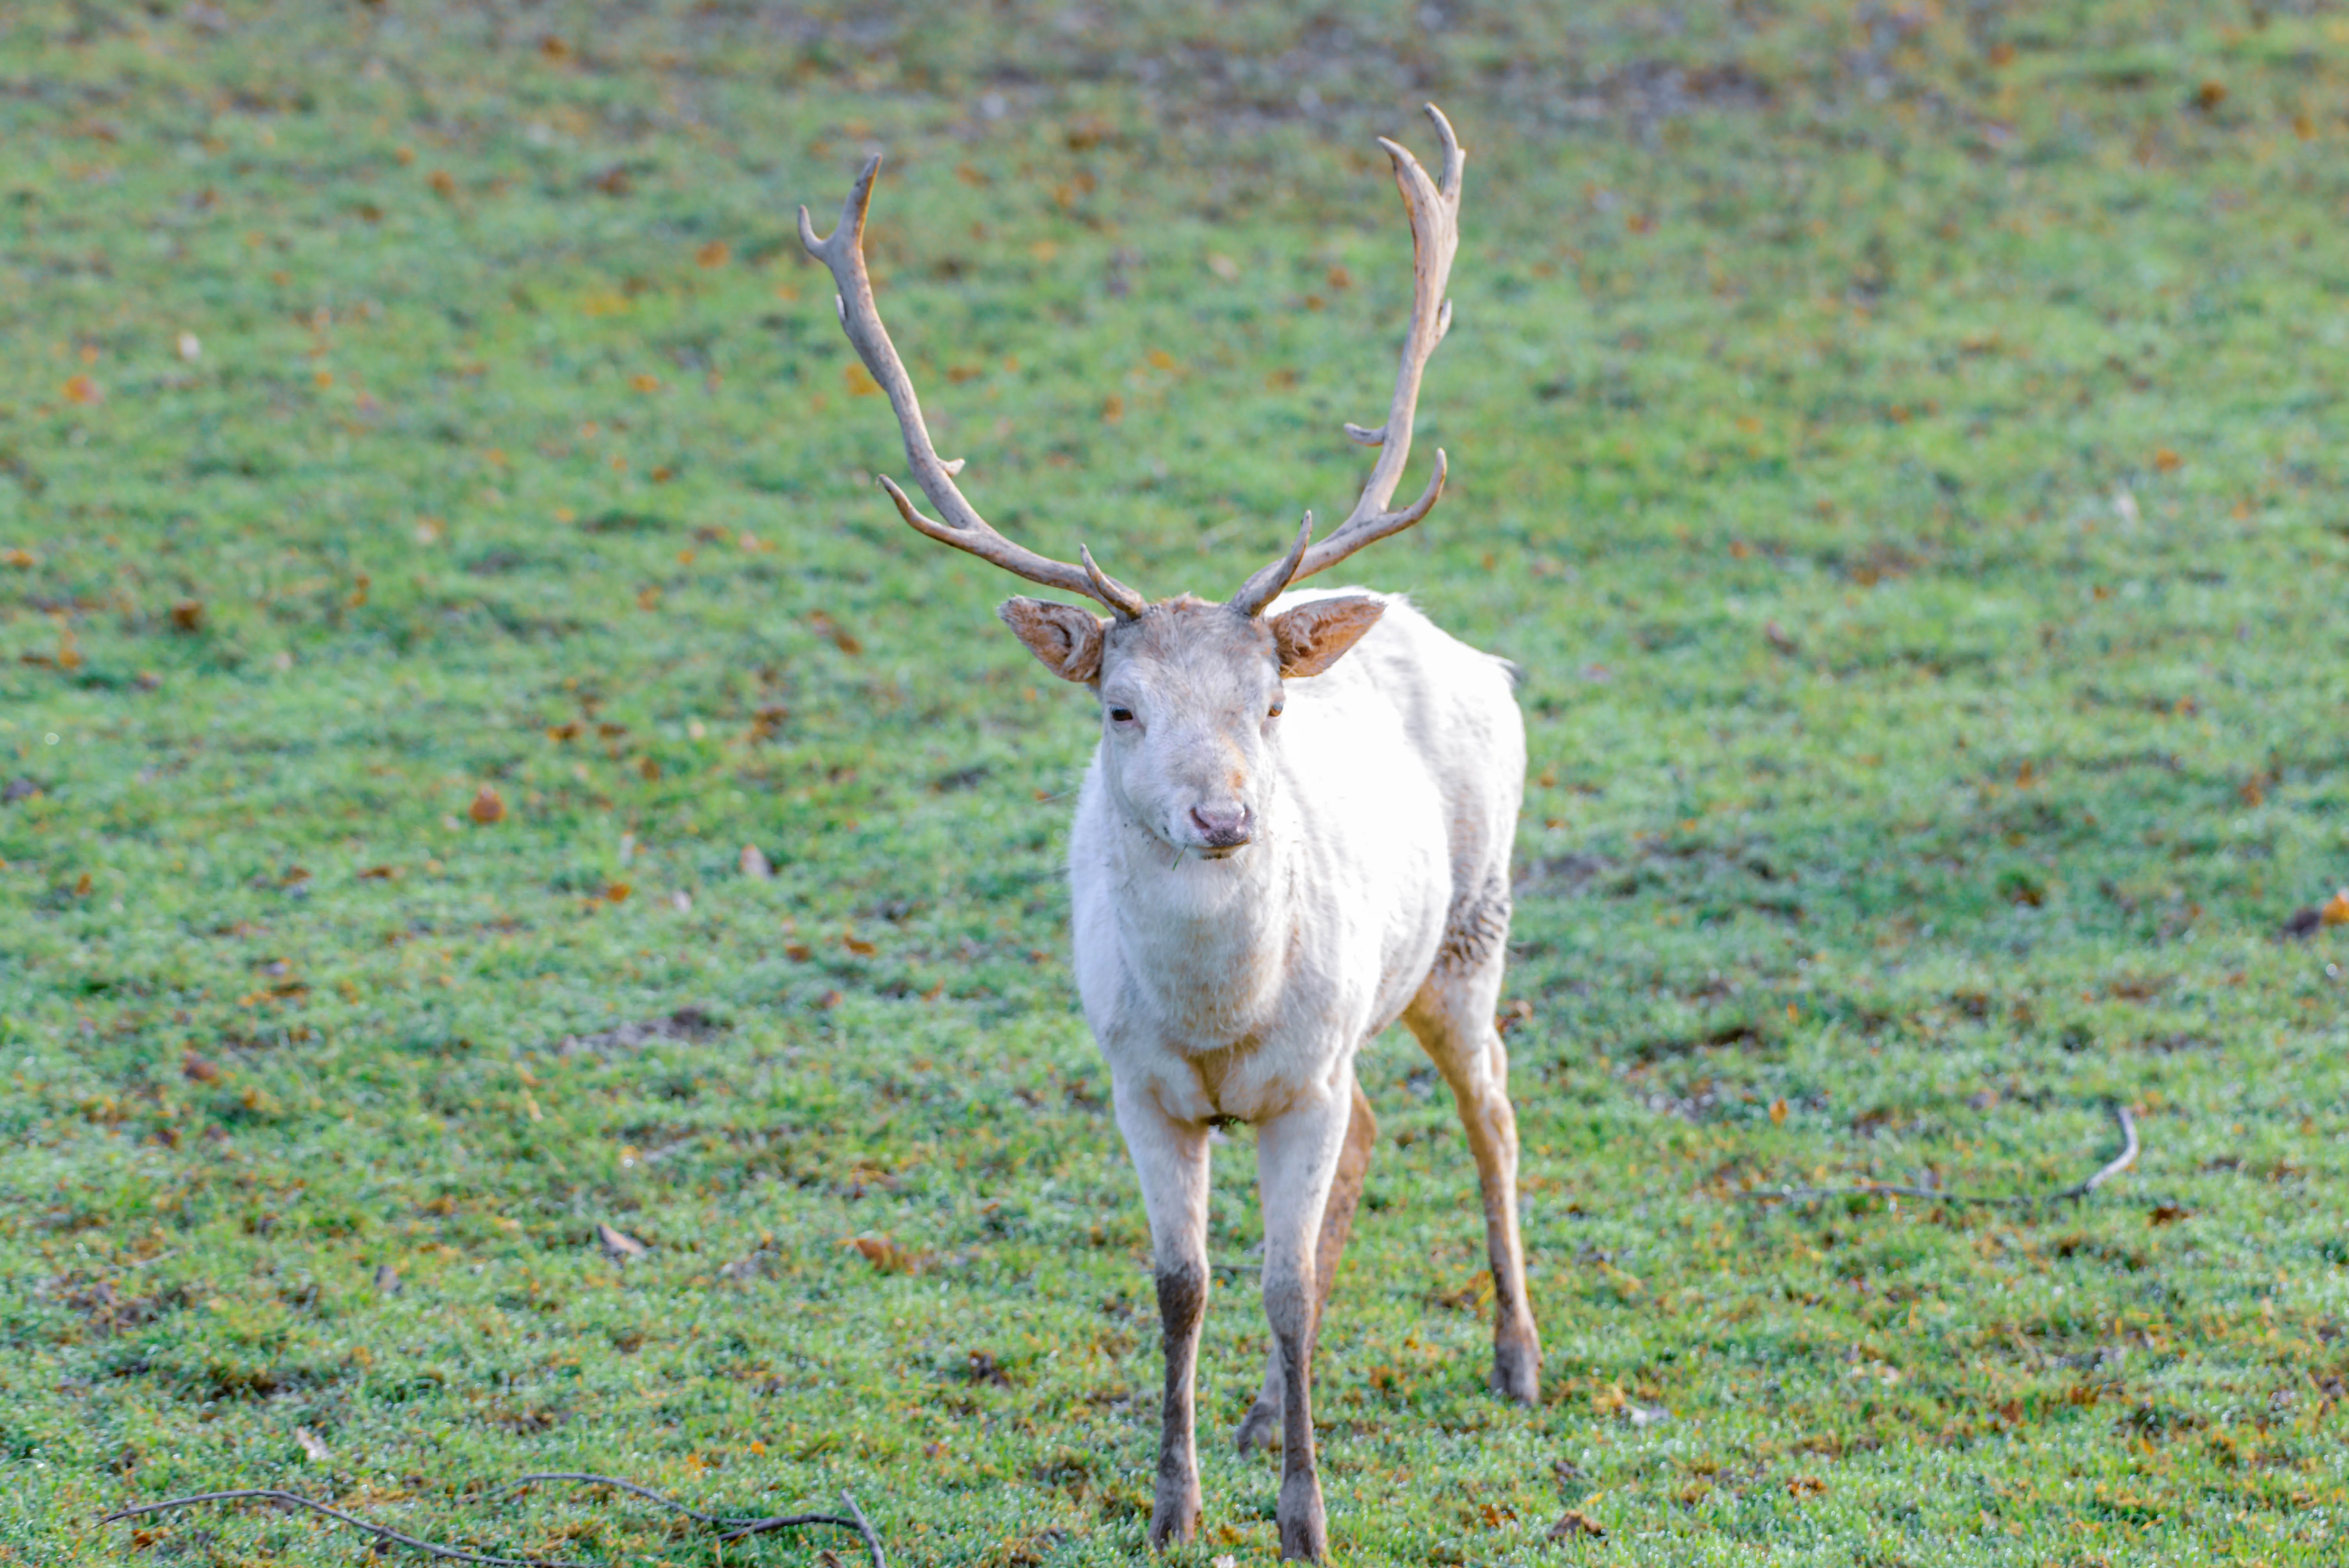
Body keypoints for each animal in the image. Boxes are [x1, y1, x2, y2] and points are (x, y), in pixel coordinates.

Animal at [801, 104, 1537, 1562]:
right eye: (1120, 705)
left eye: (1268, 702)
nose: (1223, 812)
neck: (1218, 1020)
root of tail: (1457, 642)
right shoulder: (1137, 1081)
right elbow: (1185, 1283)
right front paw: (1174, 1503)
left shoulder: (1299, 1080)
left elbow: (1285, 1285)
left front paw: (1306, 1519)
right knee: (1382, 1129)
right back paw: (1256, 1418)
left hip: (1469, 928)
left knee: (1491, 1111)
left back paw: (1517, 1359)